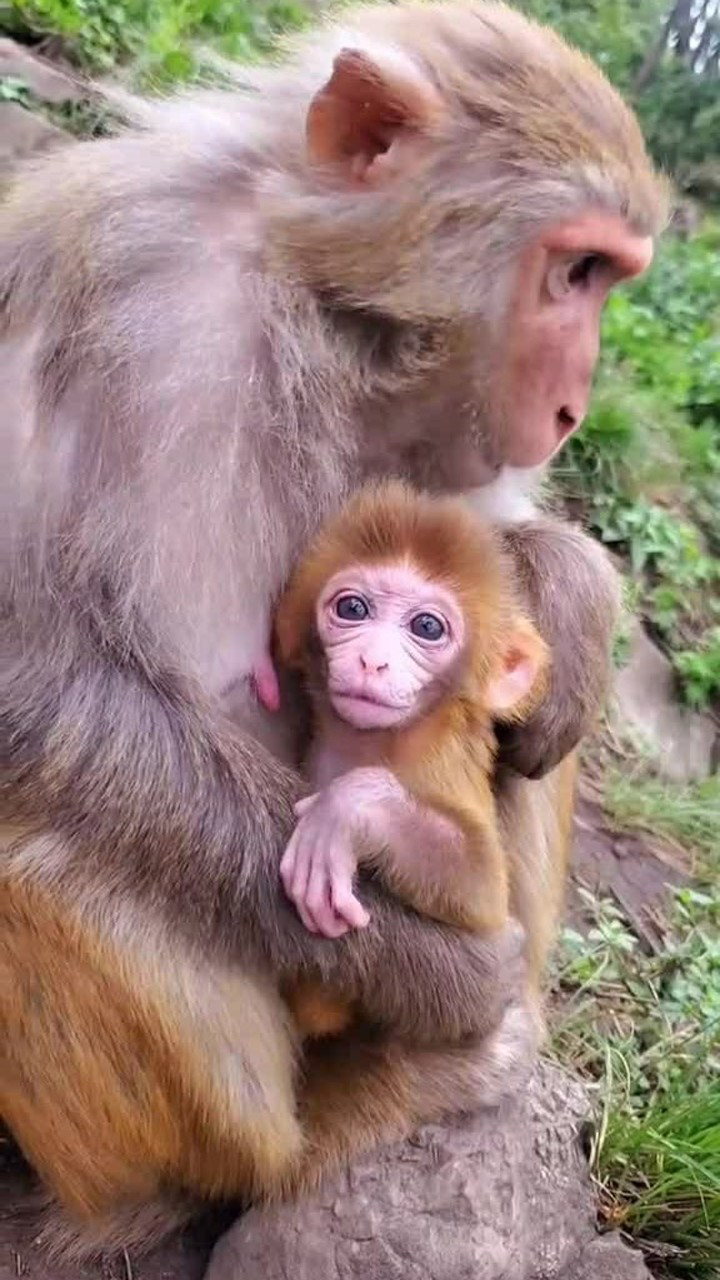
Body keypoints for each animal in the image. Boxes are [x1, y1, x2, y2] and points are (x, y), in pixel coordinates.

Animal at [271, 481, 545, 1039]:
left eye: (426, 627)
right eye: (353, 609)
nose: (372, 660)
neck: (382, 743)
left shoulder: (443, 763)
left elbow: (483, 887)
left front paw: (350, 809)